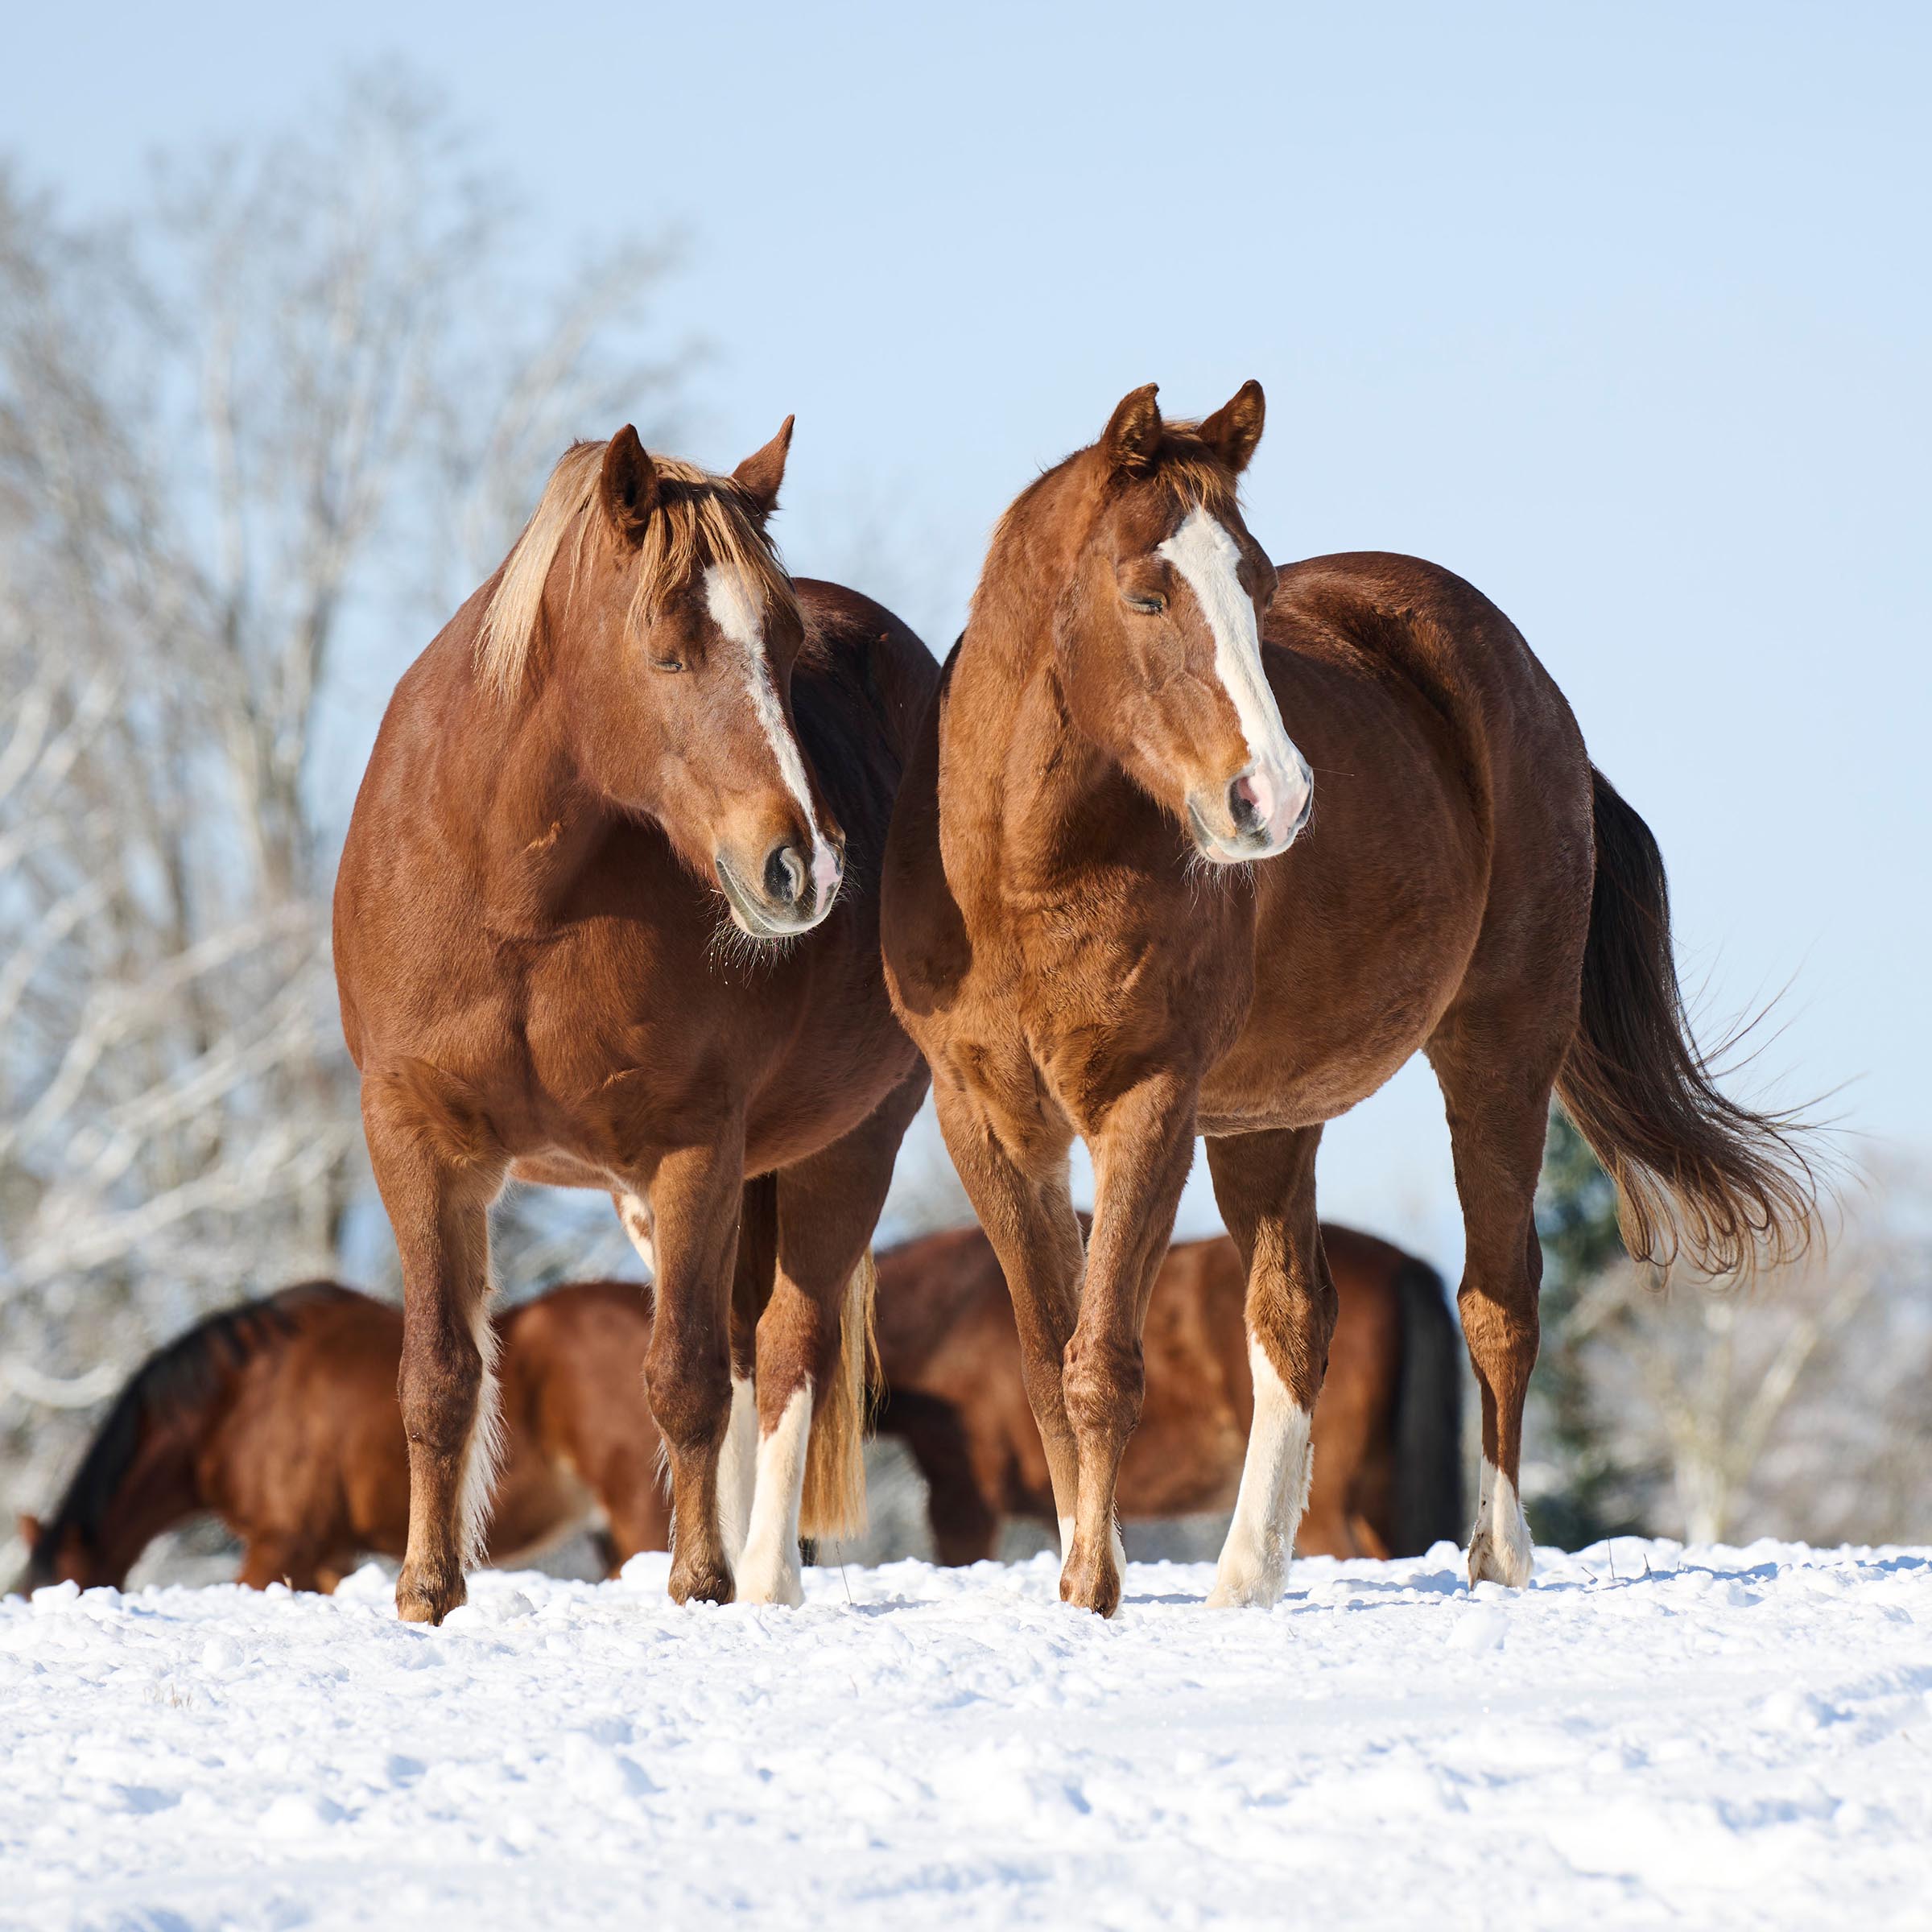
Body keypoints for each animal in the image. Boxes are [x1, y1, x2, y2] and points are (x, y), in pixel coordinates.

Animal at [334, 422, 939, 1620]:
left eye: (788, 652)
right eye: (667, 655)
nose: (804, 864)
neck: (516, 896)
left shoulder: (693, 1146)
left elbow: (686, 1375)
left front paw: (699, 1581)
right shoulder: (420, 1141)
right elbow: (438, 1372)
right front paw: (427, 1593)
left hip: (851, 1148)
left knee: (783, 1351)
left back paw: (763, 1579)